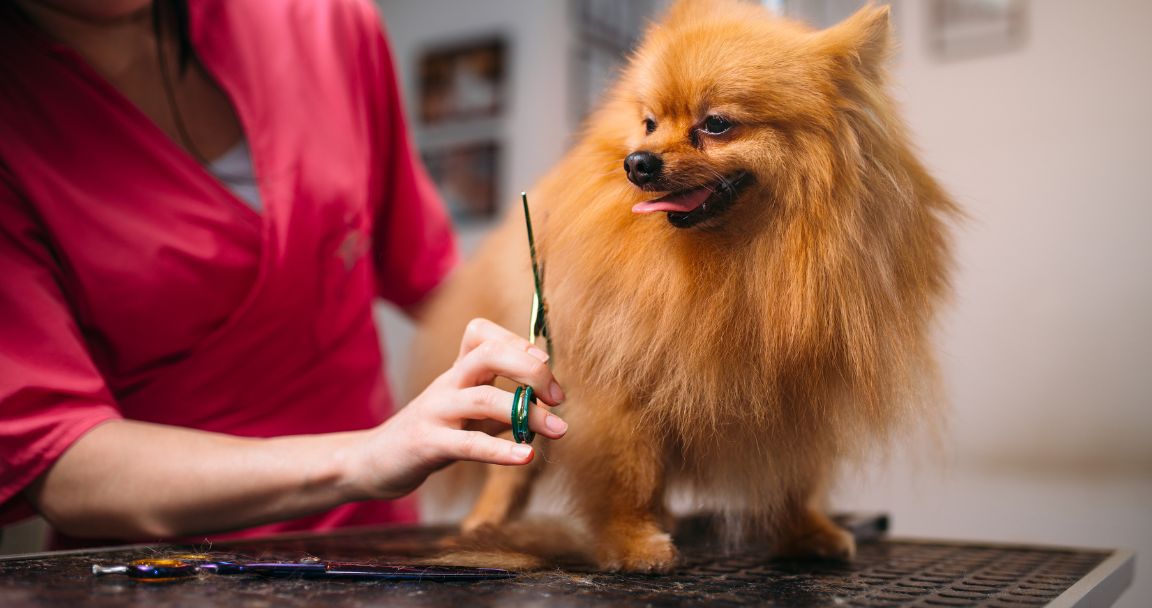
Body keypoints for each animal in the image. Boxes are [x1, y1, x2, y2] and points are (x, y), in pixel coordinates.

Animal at [410, 0, 958, 573]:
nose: (637, 161)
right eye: (649, 123)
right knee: (513, 464)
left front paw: (806, 531)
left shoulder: (797, 391)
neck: (740, 259)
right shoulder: (621, 384)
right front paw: (632, 543)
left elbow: (795, 475)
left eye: (715, 124)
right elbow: (629, 471)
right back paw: (486, 522)